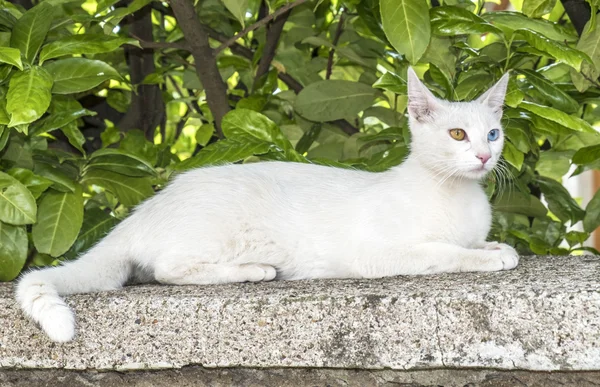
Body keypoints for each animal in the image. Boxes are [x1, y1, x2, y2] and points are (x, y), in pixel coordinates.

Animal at [16, 67, 516, 342]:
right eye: (457, 135)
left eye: (492, 133)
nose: (484, 156)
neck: (453, 193)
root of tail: (148, 209)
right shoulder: (379, 252)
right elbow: (443, 251)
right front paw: (482, 258)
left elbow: (475, 243)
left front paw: (495, 248)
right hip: (216, 231)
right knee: (169, 270)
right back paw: (254, 270)